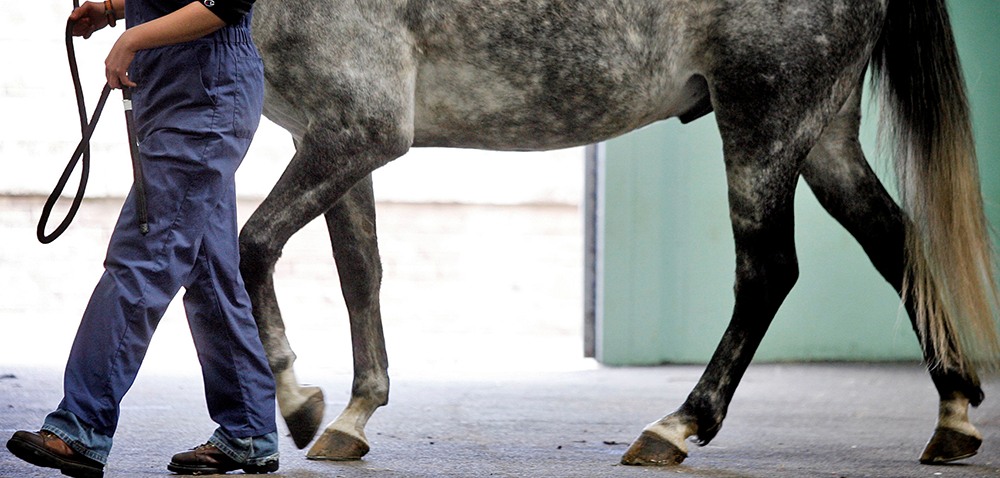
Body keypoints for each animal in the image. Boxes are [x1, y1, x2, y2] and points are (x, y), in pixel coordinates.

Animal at [242, 0, 1000, 466]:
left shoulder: (357, 130)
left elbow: (254, 244)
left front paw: (300, 405)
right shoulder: (333, 137)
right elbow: (359, 272)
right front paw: (352, 416)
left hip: (765, 125)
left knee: (768, 273)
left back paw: (676, 426)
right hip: (824, 136)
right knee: (895, 243)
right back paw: (954, 416)